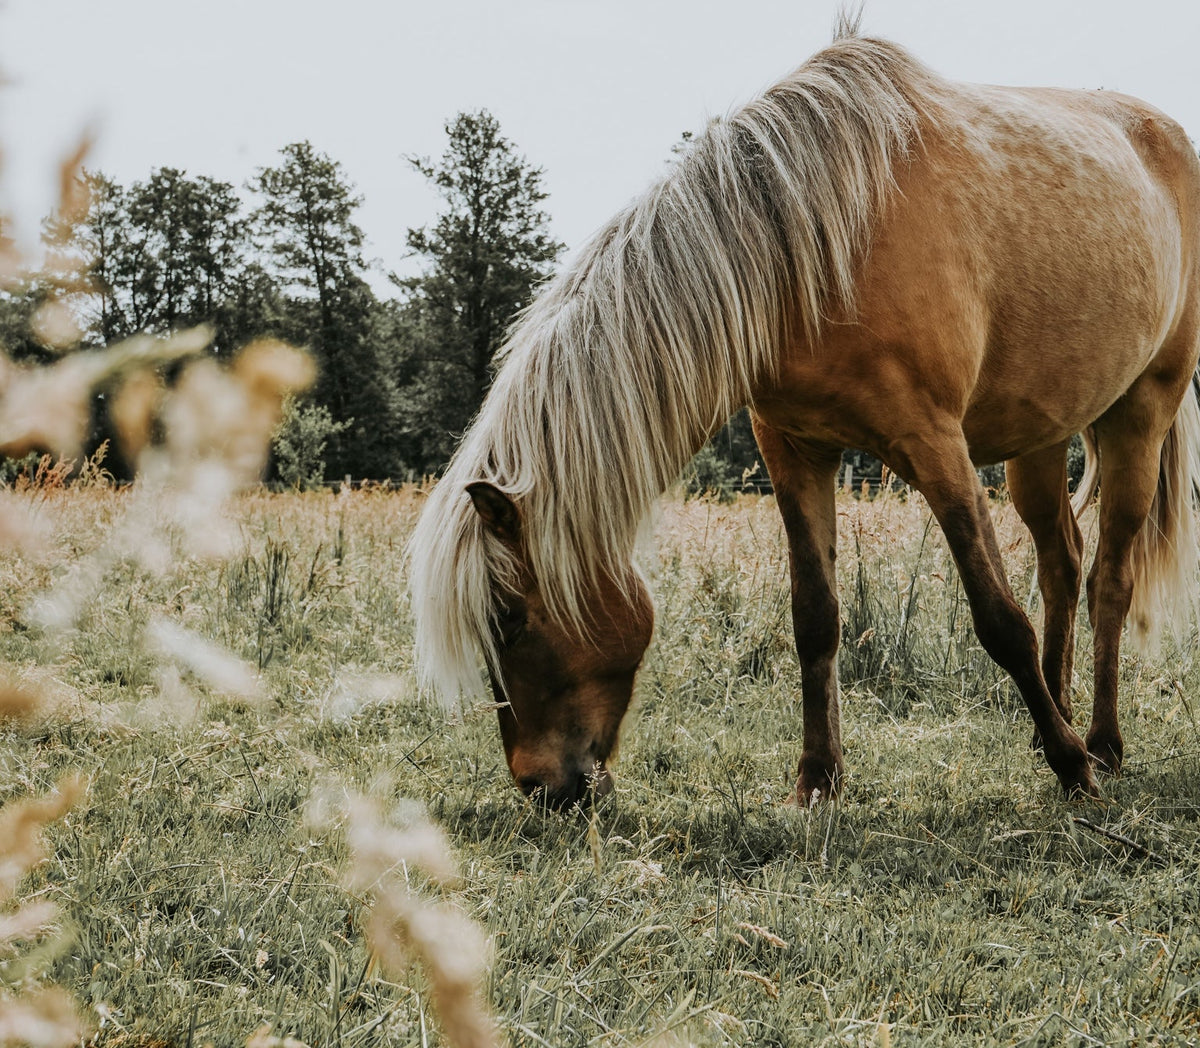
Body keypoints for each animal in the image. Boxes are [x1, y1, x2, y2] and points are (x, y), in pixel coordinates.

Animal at [408, 19, 1200, 810]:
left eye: (509, 619)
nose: (541, 785)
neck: (819, 243)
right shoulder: (794, 449)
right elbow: (815, 617)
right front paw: (818, 778)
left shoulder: (936, 445)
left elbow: (999, 618)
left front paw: (1073, 769)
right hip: (1039, 435)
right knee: (1062, 561)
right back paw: (1054, 723)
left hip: (1141, 413)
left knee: (1109, 579)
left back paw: (1099, 745)